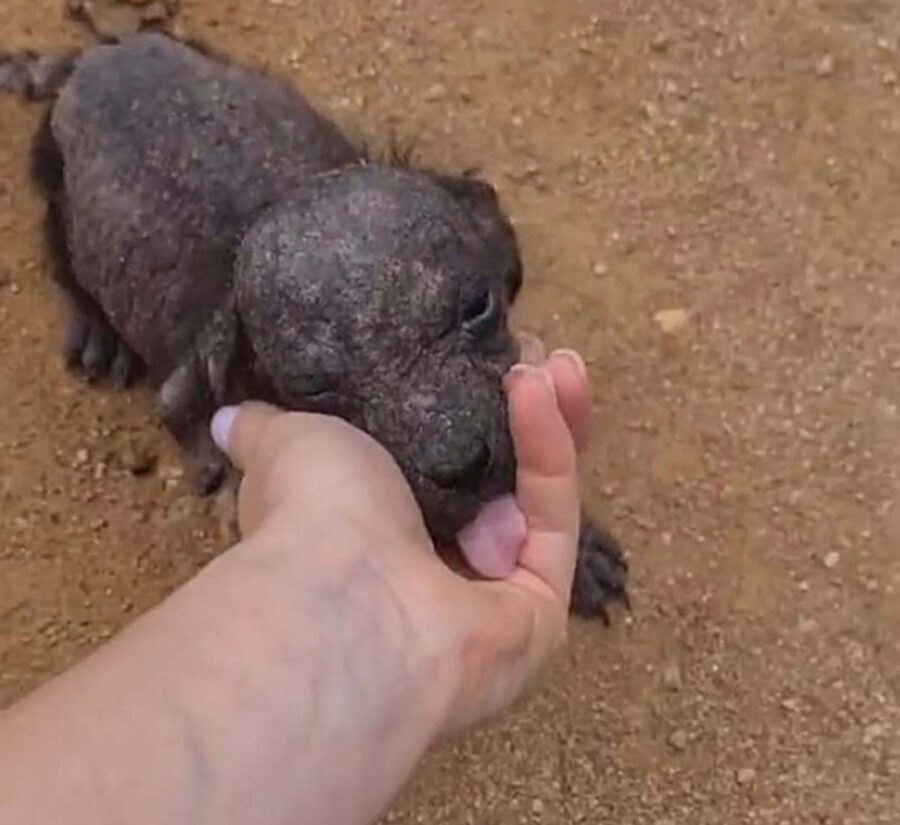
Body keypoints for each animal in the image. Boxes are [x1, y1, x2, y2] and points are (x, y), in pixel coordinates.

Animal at [1, 33, 624, 616]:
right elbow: (190, 423)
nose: (461, 465)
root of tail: (91, 58)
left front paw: (579, 553)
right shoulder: (190, 387)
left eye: (477, 307)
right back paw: (96, 332)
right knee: (63, 263)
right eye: (314, 389)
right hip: (54, 190)